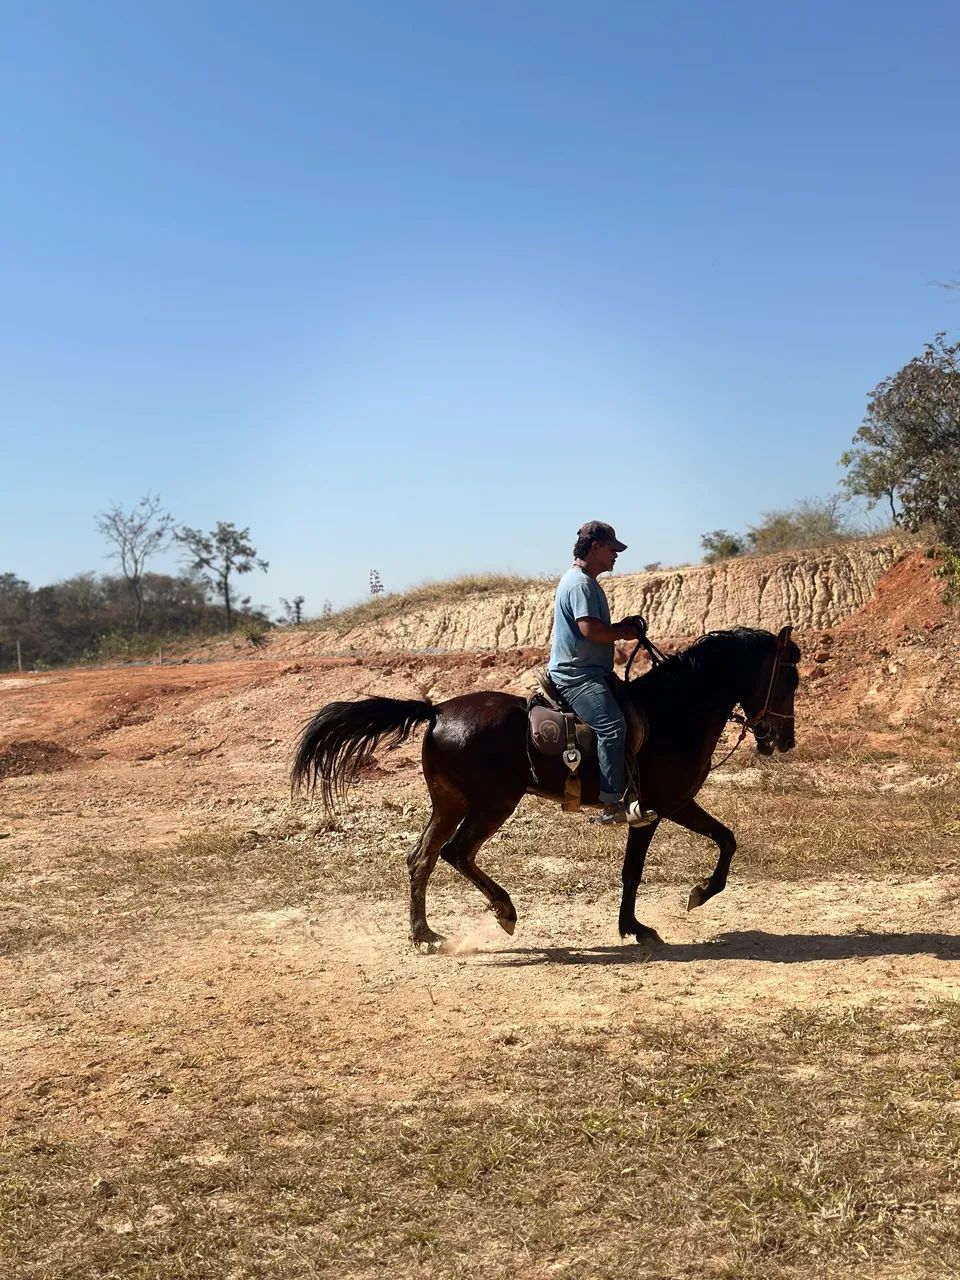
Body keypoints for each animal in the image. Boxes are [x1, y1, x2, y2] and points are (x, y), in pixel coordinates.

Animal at [291, 626, 800, 947]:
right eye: (788, 678)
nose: (784, 738)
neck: (676, 710)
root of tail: (436, 710)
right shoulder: (660, 806)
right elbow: (644, 868)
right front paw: (650, 920)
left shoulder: (675, 803)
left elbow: (724, 839)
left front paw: (683, 900)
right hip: (493, 803)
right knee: (456, 852)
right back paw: (504, 911)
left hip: (451, 803)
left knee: (423, 858)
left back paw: (424, 934)